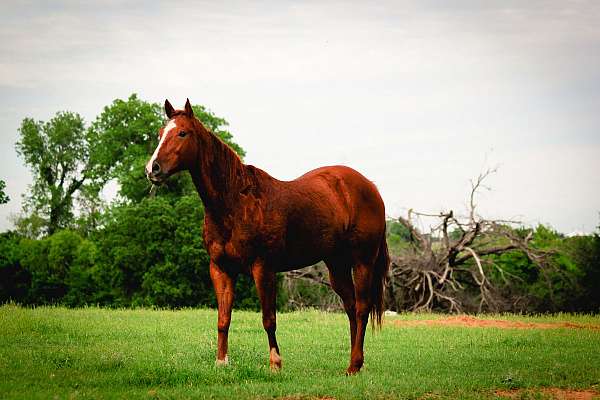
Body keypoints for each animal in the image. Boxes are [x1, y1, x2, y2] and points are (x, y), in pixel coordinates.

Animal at [145, 100, 390, 376]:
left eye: (182, 133)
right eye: (160, 134)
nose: (152, 169)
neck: (236, 202)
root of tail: (370, 187)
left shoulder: (263, 269)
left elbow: (268, 319)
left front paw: (275, 363)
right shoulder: (220, 269)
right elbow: (223, 319)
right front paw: (221, 361)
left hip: (363, 262)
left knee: (361, 308)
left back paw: (354, 364)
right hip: (336, 265)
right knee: (350, 307)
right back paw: (354, 363)